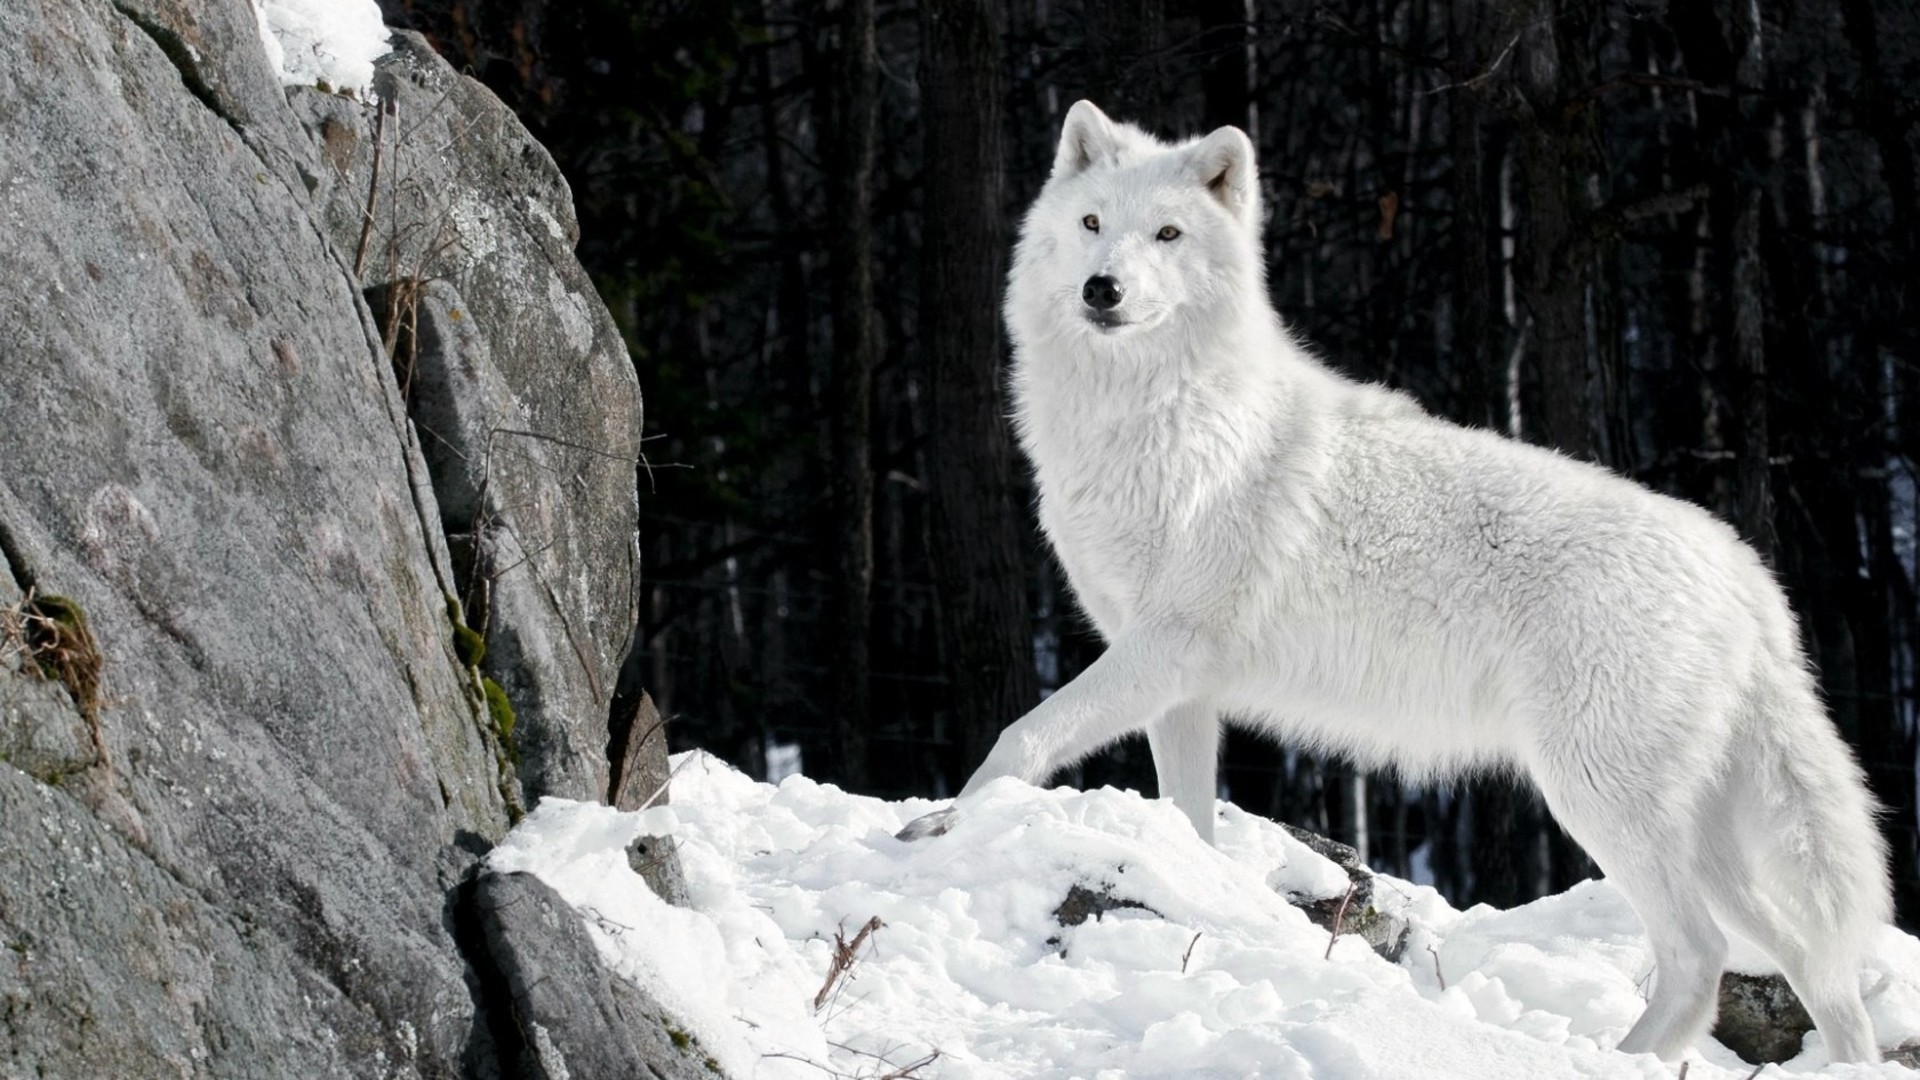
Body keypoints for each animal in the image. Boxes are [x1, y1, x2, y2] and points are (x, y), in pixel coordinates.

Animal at [899, 100, 1890, 1064]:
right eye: (1094, 224)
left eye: (1169, 234)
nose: (1101, 289)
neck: (1154, 419)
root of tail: (1745, 572)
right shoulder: (1180, 687)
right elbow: (1188, 819)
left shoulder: (1164, 649)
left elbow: (1020, 738)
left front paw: (939, 829)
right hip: (1698, 836)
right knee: (1810, 960)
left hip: (1598, 799)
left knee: (1701, 955)